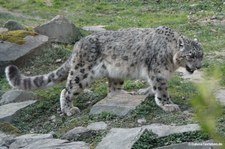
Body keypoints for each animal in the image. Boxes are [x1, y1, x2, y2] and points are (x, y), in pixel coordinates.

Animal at [4, 25, 204, 116]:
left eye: (201, 55)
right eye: (191, 55)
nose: (199, 66)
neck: (171, 62)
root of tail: (78, 44)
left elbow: (152, 87)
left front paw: (145, 92)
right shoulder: (158, 73)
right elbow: (161, 90)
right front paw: (168, 105)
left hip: (117, 73)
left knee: (112, 90)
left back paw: (127, 94)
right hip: (82, 73)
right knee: (66, 90)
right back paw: (69, 109)